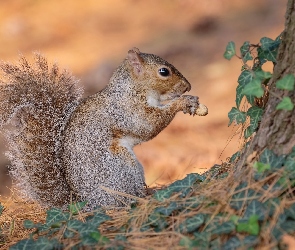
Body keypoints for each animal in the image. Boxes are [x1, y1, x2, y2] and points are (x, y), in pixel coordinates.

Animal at [0, 47, 208, 210]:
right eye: (164, 71)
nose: (188, 87)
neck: (131, 89)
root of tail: (88, 205)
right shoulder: (127, 110)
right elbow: (148, 124)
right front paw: (182, 103)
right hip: (122, 167)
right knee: (126, 198)